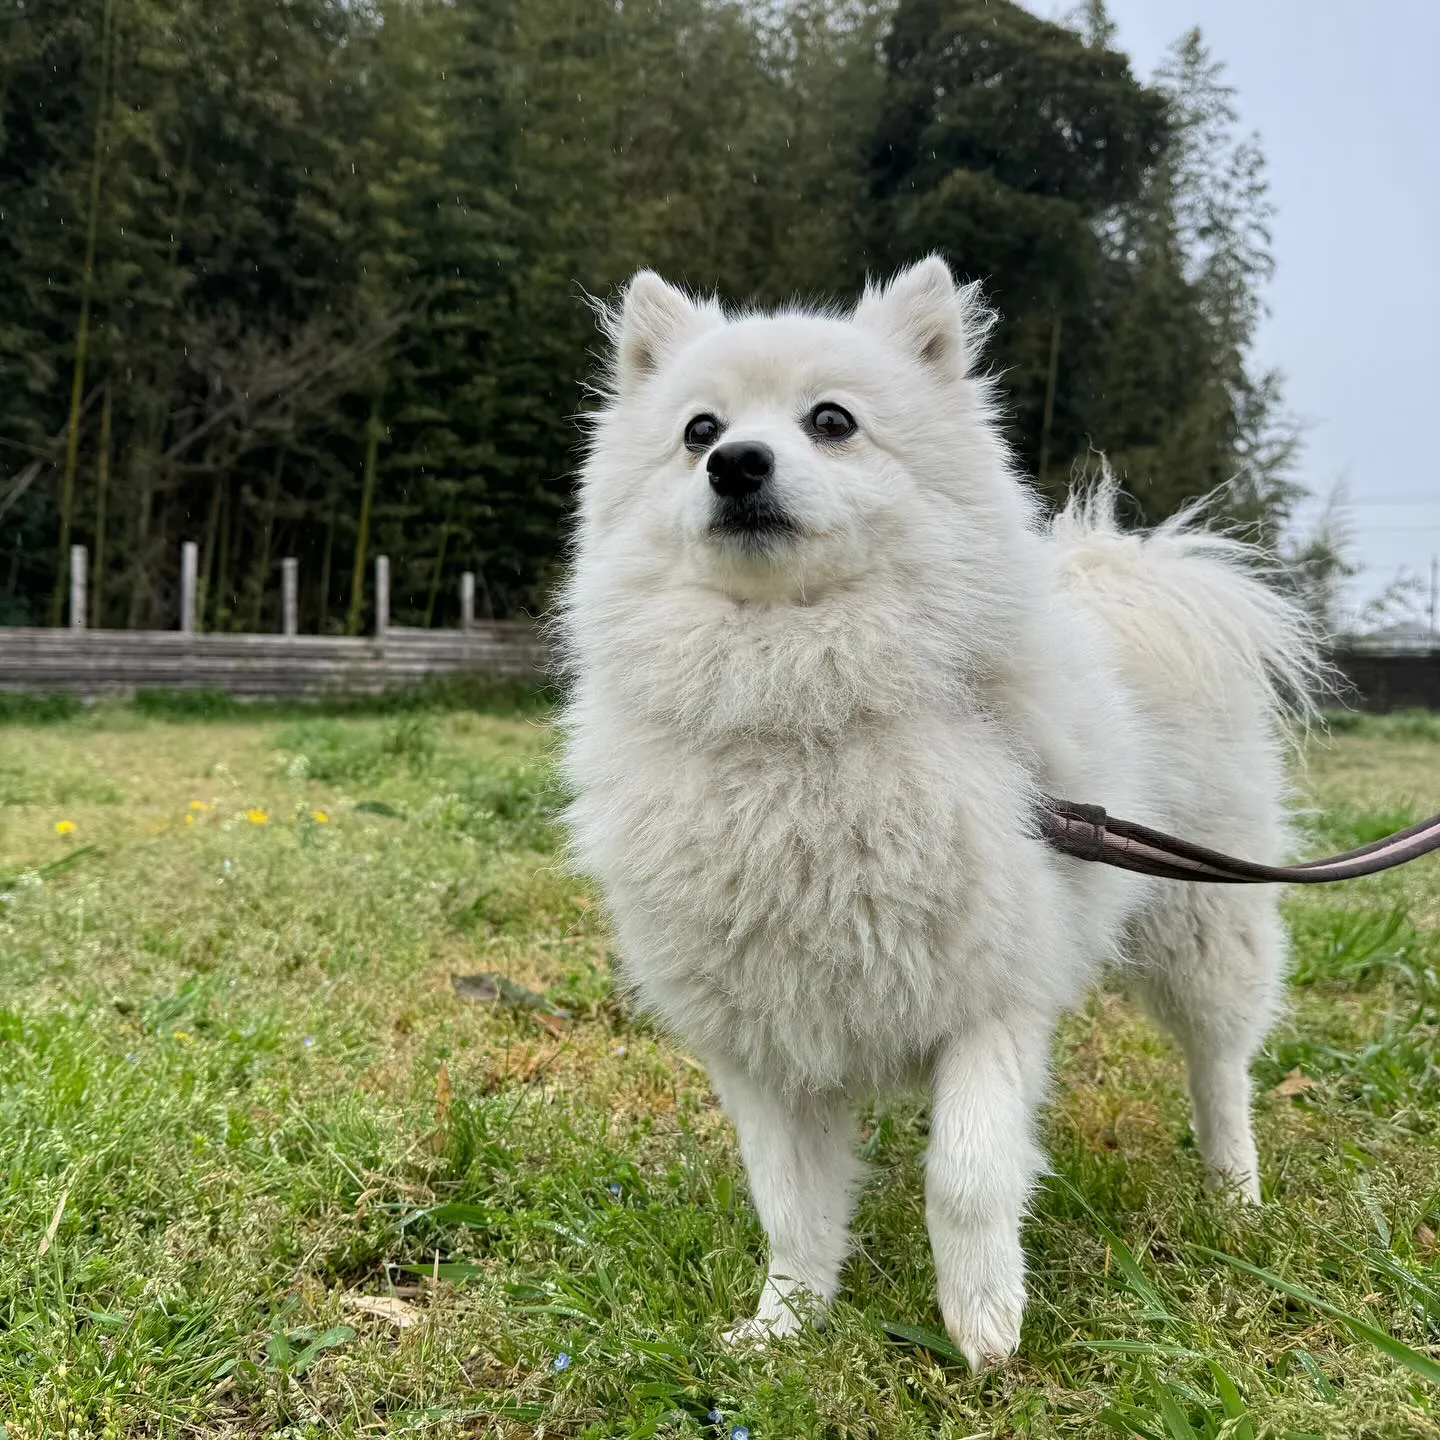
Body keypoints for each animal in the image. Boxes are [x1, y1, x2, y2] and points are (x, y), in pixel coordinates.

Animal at [555, 253, 1319, 1365]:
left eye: (831, 421)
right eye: (699, 430)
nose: (736, 464)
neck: (799, 706)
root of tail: (1125, 576)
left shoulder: (990, 998)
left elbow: (965, 1176)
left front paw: (985, 1323)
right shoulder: (762, 1039)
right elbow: (790, 1203)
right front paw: (785, 1323)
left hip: (1204, 926)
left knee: (1222, 1071)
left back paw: (1237, 1197)